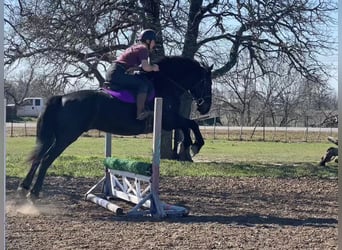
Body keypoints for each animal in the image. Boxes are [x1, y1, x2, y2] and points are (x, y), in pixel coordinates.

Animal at [18, 55, 214, 198]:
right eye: (207, 83)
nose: (205, 107)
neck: (166, 83)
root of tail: (61, 98)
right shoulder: (168, 119)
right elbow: (190, 124)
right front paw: (194, 146)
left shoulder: (170, 121)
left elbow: (188, 125)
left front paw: (189, 146)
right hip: (67, 137)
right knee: (46, 159)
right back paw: (34, 193)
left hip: (57, 137)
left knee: (39, 157)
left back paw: (24, 187)